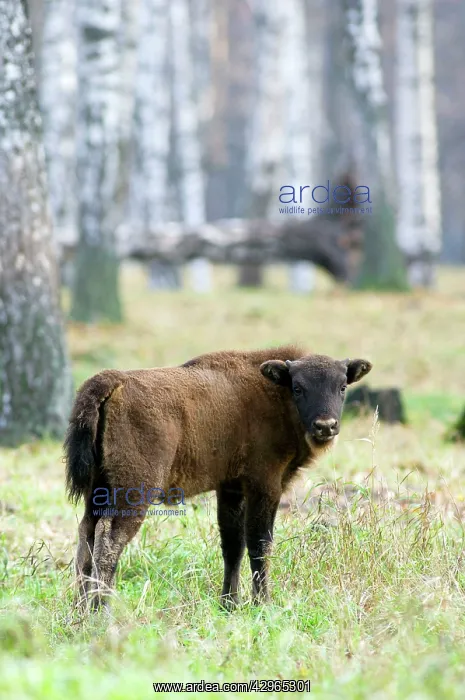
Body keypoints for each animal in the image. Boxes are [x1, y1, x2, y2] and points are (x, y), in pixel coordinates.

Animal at [65, 346, 372, 610]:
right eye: (298, 387)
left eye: (342, 387)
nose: (326, 426)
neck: (273, 392)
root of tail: (115, 380)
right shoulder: (265, 485)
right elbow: (259, 544)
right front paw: (262, 603)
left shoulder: (231, 489)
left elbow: (232, 545)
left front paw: (229, 604)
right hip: (134, 492)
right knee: (109, 540)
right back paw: (100, 611)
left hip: (98, 490)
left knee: (87, 535)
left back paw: (79, 610)